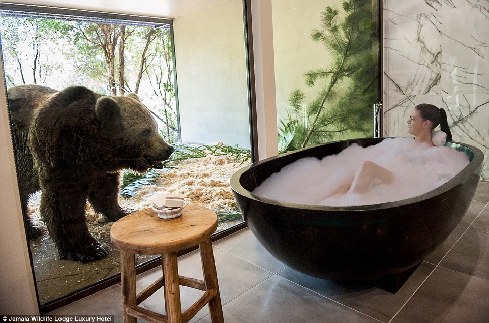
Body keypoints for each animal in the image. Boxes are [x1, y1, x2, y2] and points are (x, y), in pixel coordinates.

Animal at [7, 85, 173, 264]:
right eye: (145, 131)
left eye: (155, 126)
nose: (168, 149)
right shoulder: (60, 157)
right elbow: (64, 205)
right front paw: (90, 249)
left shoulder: (97, 168)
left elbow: (105, 190)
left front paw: (123, 211)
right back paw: (33, 229)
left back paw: (32, 229)